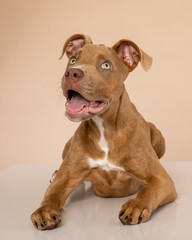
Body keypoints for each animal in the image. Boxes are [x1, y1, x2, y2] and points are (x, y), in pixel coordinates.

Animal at [30, 33, 177, 231]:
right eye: (73, 60)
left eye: (105, 65)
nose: (72, 73)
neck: (104, 129)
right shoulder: (67, 177)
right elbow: (51, 193)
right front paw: (44, 210)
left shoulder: (162, 180)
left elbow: (149, 191)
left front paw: (135, 206)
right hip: (67, 144)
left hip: (158, 135)